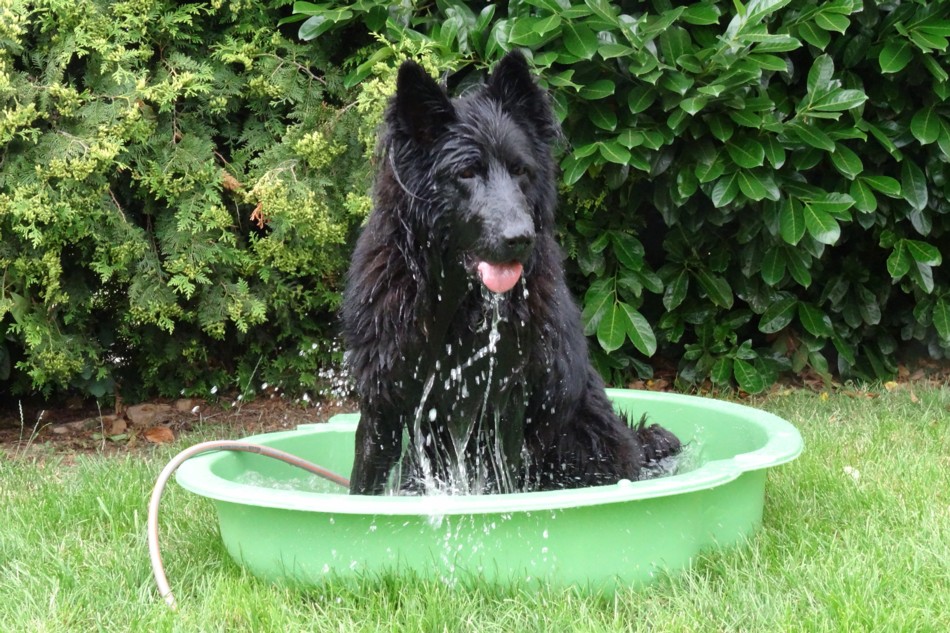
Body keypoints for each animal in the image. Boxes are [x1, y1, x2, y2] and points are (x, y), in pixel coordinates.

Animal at [342, 51, 680, 495]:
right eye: (467, 173)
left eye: (521, 170)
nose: (521, 237)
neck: (457, 301)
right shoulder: (382, 401)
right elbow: (365, 480)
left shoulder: (508, 402)